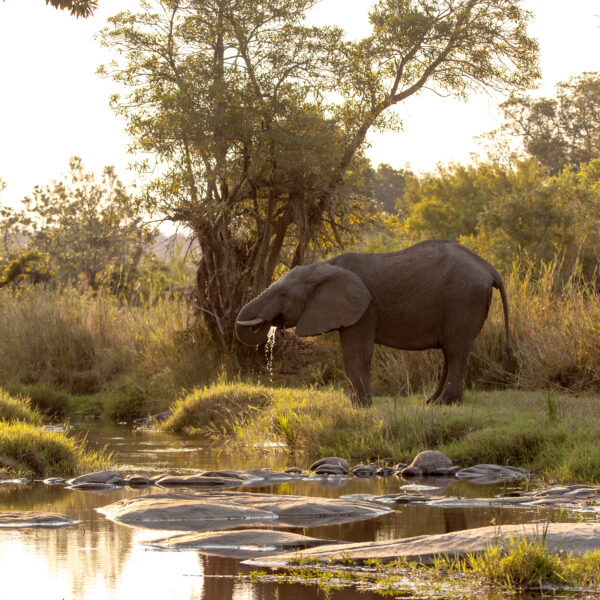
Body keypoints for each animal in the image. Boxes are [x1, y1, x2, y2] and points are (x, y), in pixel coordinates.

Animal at [234, 239, 510, 408]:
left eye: (282, 295)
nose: (268, 323)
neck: (323, 266)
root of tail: (490, 269)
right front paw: (359, 405)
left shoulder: (364, 309)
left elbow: (355, 354)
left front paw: (360, 408)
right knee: (448, 353)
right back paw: (431, 402)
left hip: (463, 299)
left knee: (455, 350)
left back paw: (445, 403)